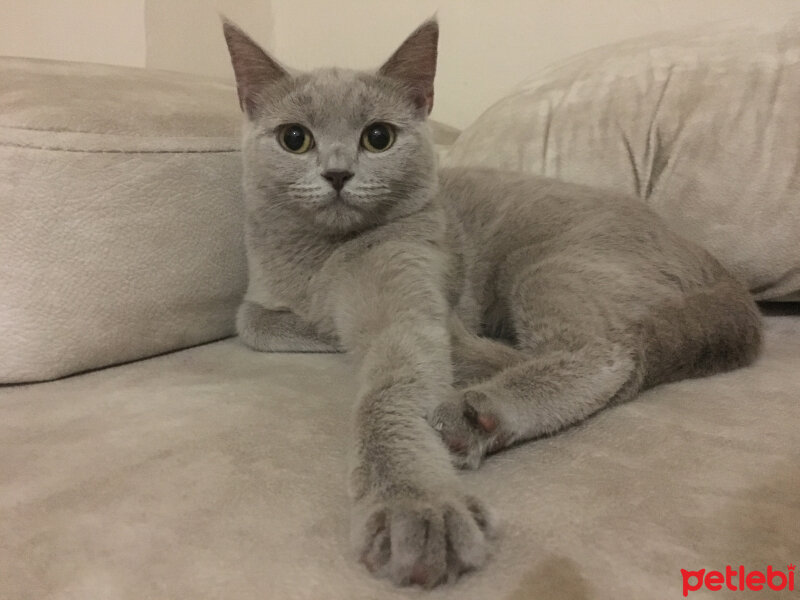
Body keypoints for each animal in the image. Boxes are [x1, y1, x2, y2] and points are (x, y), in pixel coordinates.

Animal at [220, 19, 764, 592]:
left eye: (378, 137)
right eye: (294, 138)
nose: (338, 173)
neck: (321, 258)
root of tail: (719, 269)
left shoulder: (409, 280)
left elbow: (391, 386)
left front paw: (416, 506)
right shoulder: (262, 294)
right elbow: (251, 320)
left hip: (545, 265)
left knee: (612, 354)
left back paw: (475, 406)